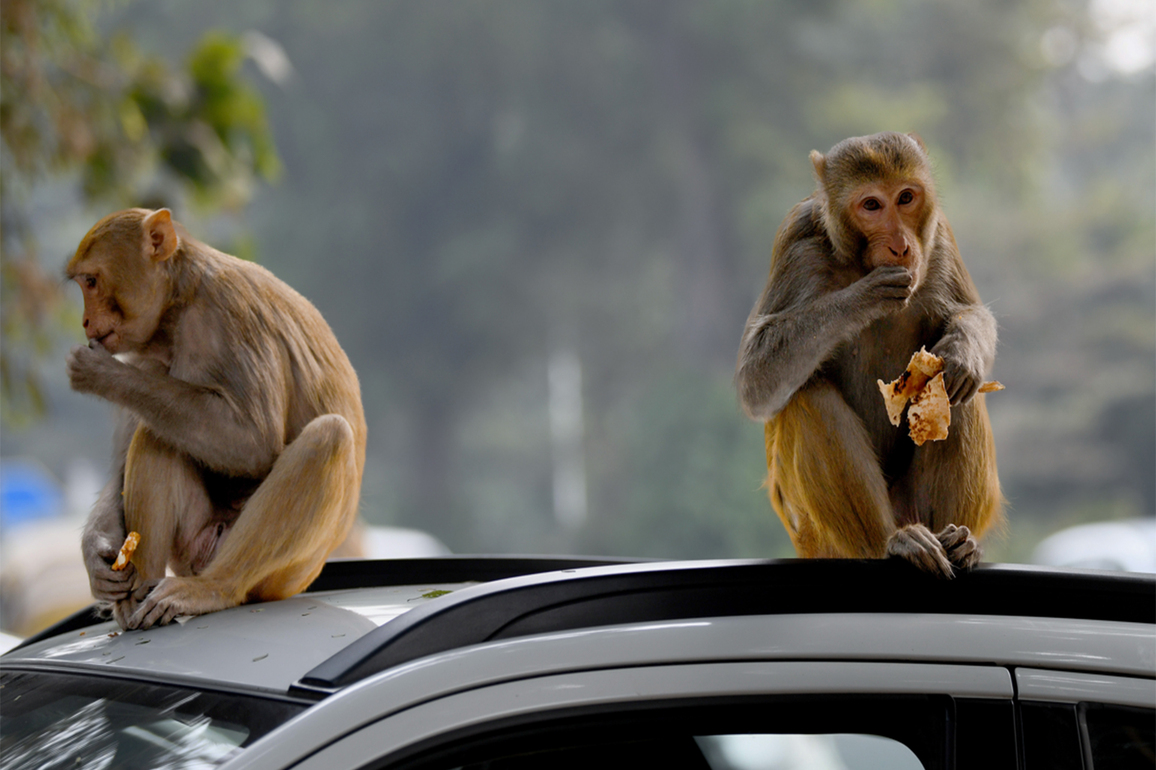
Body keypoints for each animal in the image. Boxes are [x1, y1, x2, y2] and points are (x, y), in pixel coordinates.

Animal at [66, 208, 366, 629]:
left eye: (91, 281)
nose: (85, 322)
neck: (178, 306)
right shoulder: (145, 356)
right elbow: (123, 461)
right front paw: (97, 555)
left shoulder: (226, 315)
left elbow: (255, 442)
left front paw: (102, 375)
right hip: (192, 546)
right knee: (156, 435)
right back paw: (134, 601)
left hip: (282, 575)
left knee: (329, 437)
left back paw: (213, 588)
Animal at [735, 132, 1002, 578]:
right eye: (872, 205)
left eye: (906, 197)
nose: (901, 246)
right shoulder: (797, 242)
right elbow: (756, 379)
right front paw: (864, 297)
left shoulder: (939, 235)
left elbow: (970, 315)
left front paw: (962, 350)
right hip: (816, 534)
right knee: (808, 397)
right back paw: (890, 543)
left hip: (911, 502)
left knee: (954, 392)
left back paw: (957, 541)